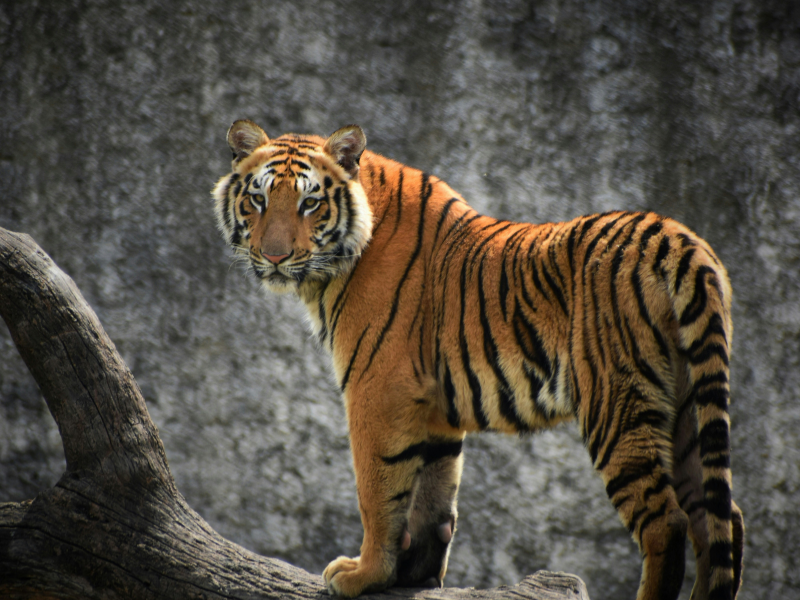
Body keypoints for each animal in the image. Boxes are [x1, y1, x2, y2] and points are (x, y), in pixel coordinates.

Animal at [212, 119, 744, 600]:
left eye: (310, 203)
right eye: (258, 200)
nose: (275, 257)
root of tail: (679, 239)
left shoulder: (376, 389)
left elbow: (378, 490)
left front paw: (364, 575)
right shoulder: (433, 407)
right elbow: (434, 495)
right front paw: (415, 576)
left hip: (617, 402)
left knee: (667, 522)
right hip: (687, 407)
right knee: (720, 521)